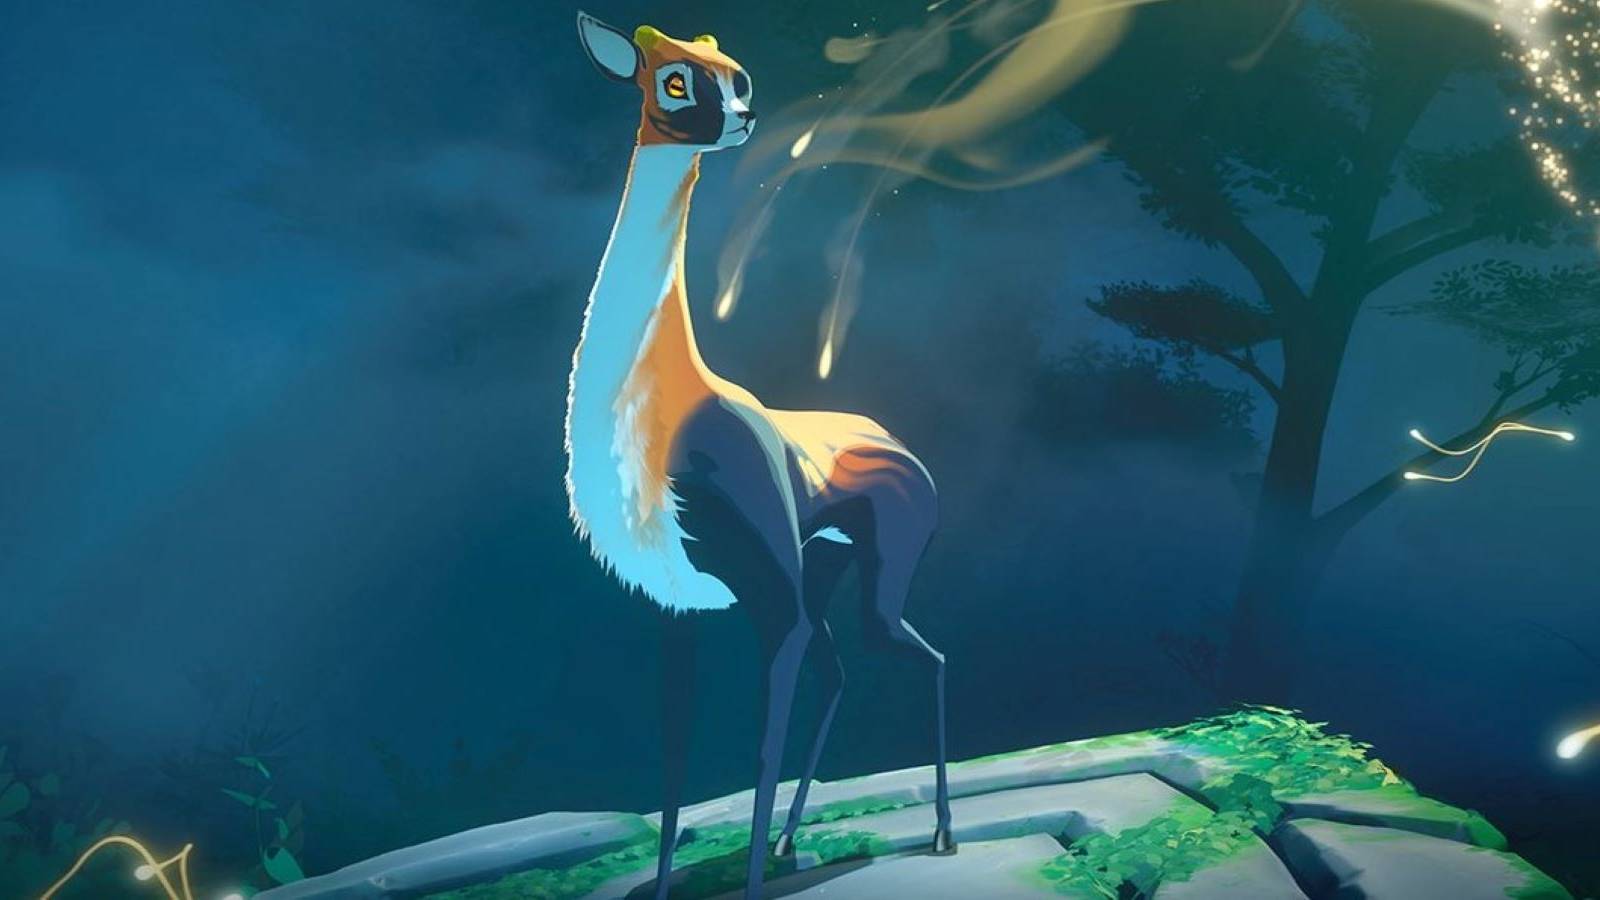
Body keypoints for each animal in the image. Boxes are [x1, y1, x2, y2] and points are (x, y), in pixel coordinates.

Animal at [565, 13, 954, 899]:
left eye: (736, 77)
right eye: (674, 81)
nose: (743, 119)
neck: (660, 405)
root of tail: (901, 443)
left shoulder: (771, 606)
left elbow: (761, 745)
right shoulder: (676, 608)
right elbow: (675, 759)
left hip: (872, 578)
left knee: (924, 655)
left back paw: (942, 835)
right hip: (827, 565)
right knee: (842, 671)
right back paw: (788, 842)